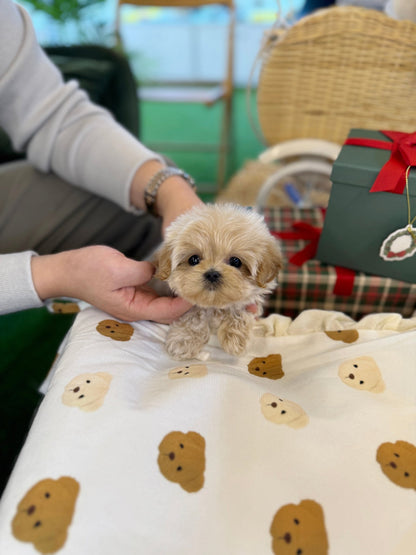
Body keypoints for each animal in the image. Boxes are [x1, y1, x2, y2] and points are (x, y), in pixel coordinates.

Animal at [153, 204, 282, 360]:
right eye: (194, 259)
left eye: (235, 261)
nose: (212, 274)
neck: (215, 305)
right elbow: (195, 315)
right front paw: (184, 340)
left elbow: (239, 309)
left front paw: (235, 339)